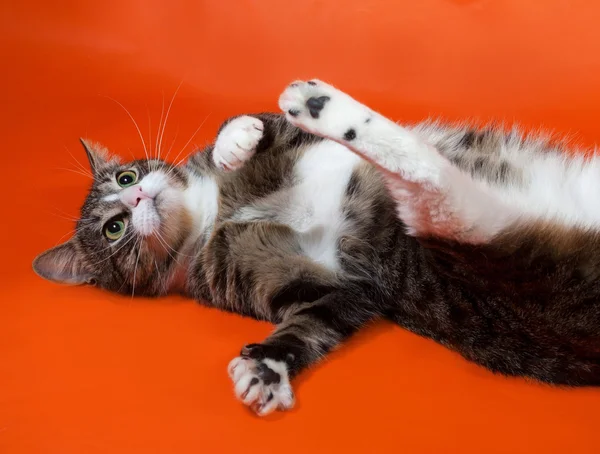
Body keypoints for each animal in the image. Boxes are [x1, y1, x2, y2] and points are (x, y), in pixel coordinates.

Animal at [31, 79, 600, 414]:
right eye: (114, 228)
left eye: (127, 176)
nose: (138, 196)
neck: (212, 214)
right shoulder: (325, 288)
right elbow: (314, 320)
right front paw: (267, 366)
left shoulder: (284, 146)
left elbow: (252, 126)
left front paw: (235, 142)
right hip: (477, 242)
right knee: (434, 187)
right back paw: (325, 104)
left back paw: (313, 102)